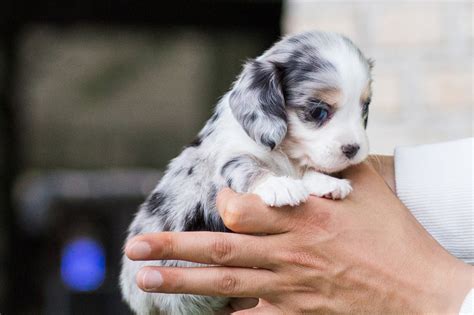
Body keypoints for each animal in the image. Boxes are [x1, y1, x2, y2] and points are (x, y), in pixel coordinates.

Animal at [120, 30, 372, 315]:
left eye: (365, 108)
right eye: (318, 111)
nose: (353, 149)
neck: (285, 150)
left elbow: (307, 171)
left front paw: (326, 183)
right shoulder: (228, 158)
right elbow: (249, 167)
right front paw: (279, 186)